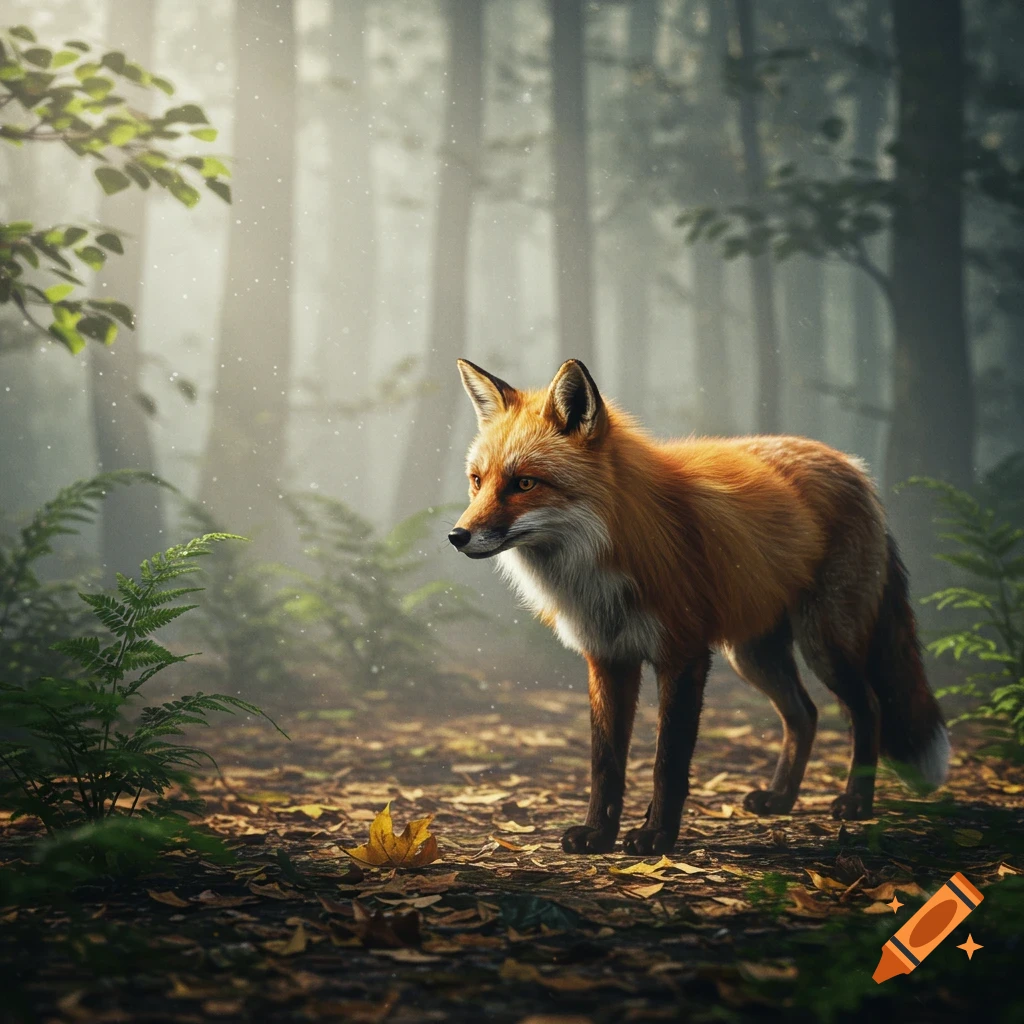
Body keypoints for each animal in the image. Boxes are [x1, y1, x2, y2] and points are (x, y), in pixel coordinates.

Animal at [448, 357, 950, 855]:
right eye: (477, 481)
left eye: (524, 483)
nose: (457, 536)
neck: (605, 558)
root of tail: (854, 466)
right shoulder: (608, 657)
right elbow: (605, 762)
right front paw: (598, 834)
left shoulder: (683, 654)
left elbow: (668, 760)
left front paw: (656, 835)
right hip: (753, 654)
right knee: (803, 715)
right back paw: (781, 798)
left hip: (824, 644)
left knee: (869, 708)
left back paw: (856, 802)